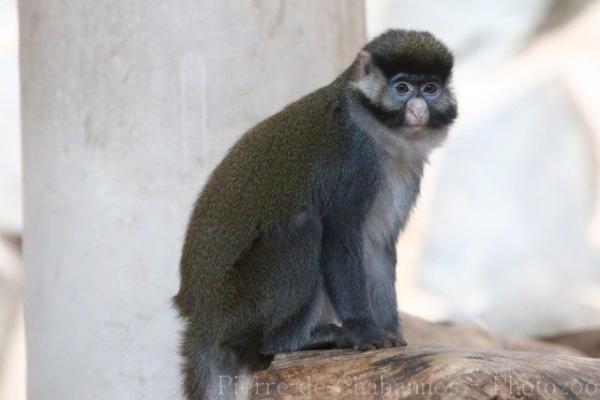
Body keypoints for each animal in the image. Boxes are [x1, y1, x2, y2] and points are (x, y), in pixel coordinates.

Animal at [173, 29, 454, 398]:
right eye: (402, 88)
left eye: (431, 88)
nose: (419, 108)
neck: (375, 131)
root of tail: (202, 320)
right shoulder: (352, 162)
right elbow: (340, 238)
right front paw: (365, 331)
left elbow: (378, 246)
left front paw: (391, 333)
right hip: (241, 308)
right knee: (304, 226)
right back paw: (292, 340)